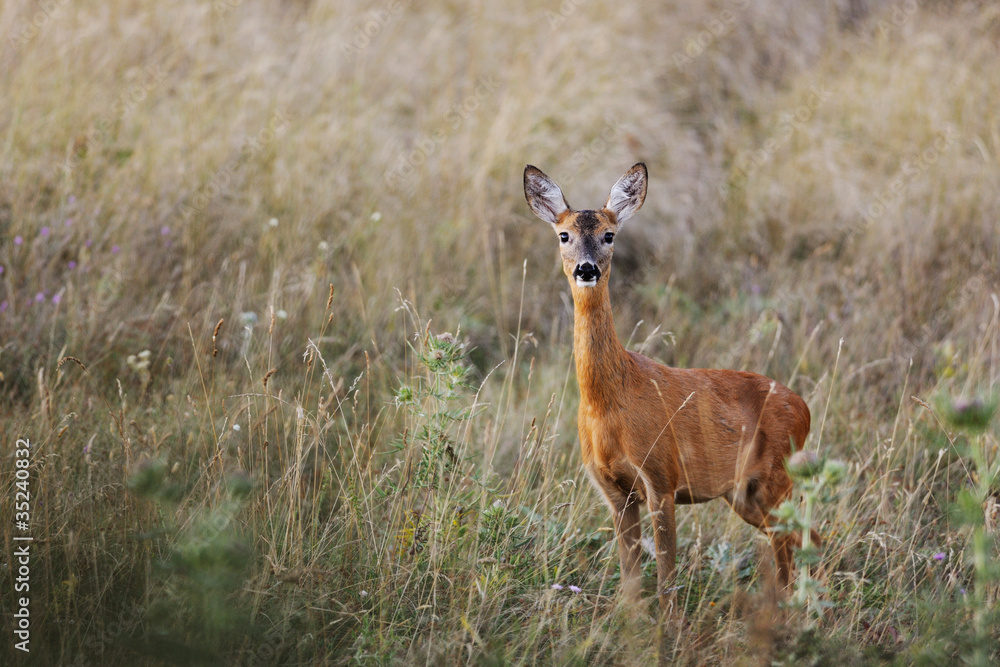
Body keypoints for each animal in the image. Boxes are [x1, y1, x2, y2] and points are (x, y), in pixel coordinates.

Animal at [524, 162, 812, 612]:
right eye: (563, 235)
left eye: (609, 234)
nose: (586, 269)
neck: (609, 405)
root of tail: (805, 409)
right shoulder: (612, 490)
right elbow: (631, 579)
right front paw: (632, 621)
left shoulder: (661, 476)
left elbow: (666, 578)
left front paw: (667, 626)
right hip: (743, 494)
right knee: (796, 538)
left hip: (774, 480)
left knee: (796, 540)